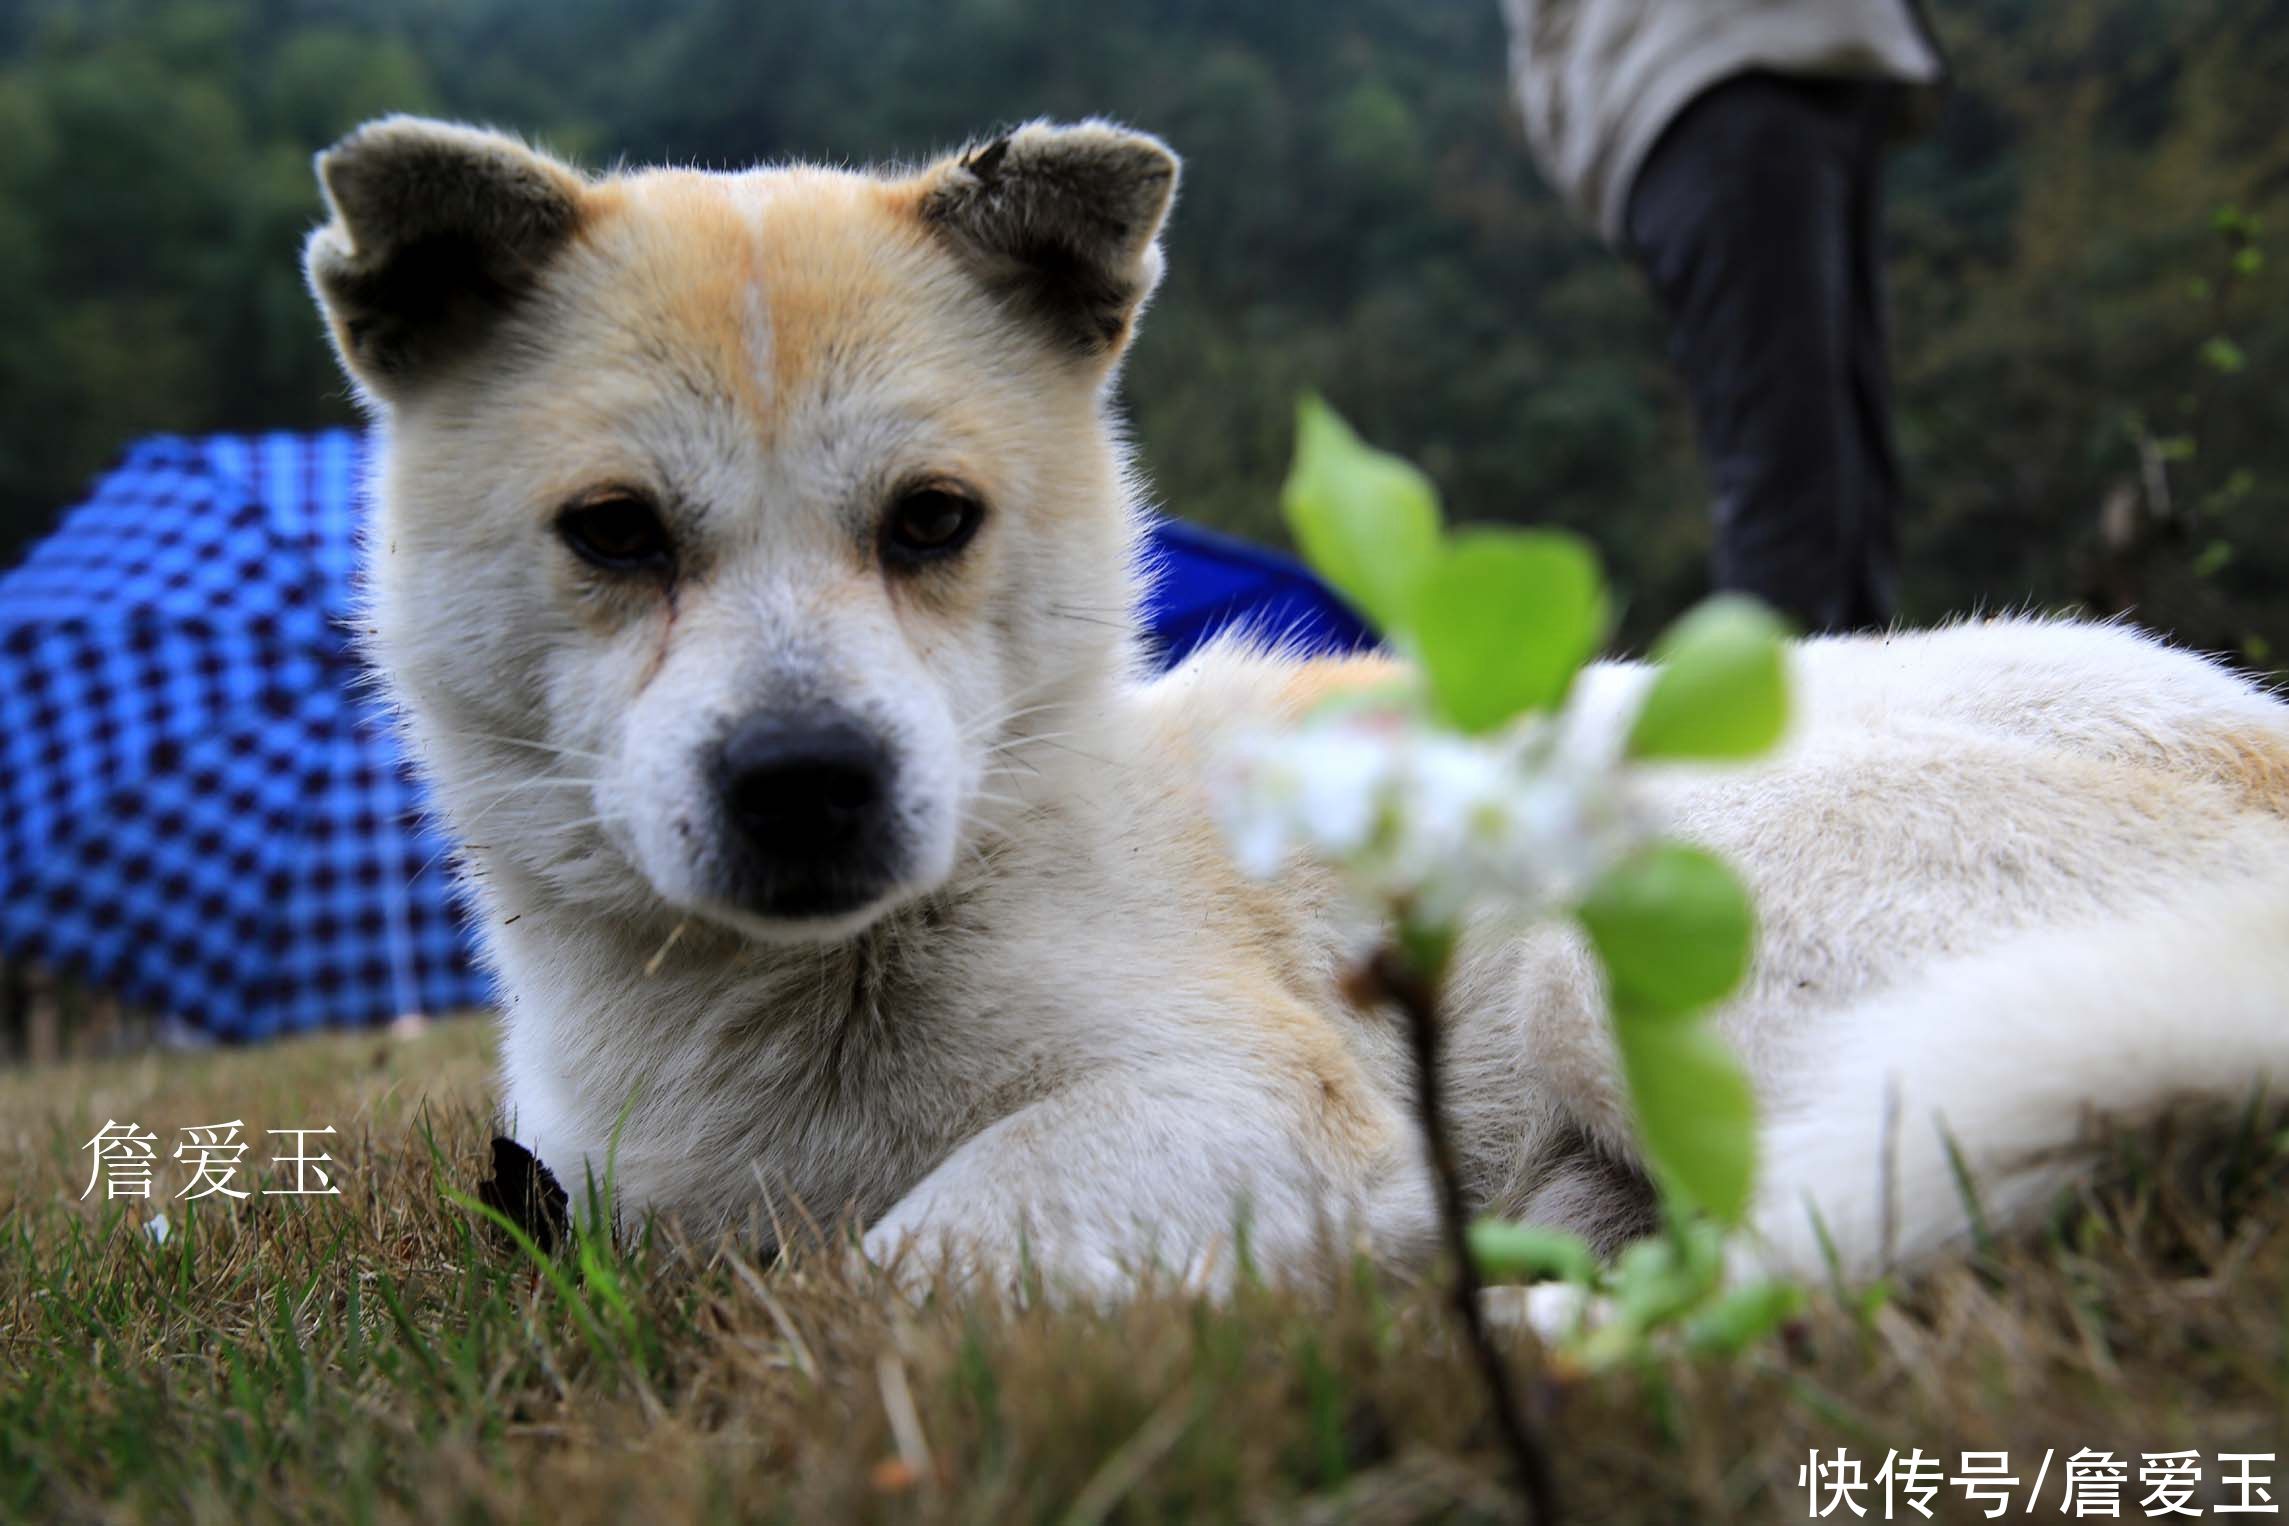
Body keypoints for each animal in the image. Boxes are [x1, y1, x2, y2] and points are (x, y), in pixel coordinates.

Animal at [299, 113, 2289, 1299]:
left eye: (931, 519)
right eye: (613, 532)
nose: (806, 781)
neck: (819, 1006)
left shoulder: (1254, 1099)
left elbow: (903, 1270)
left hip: (1644, 910)